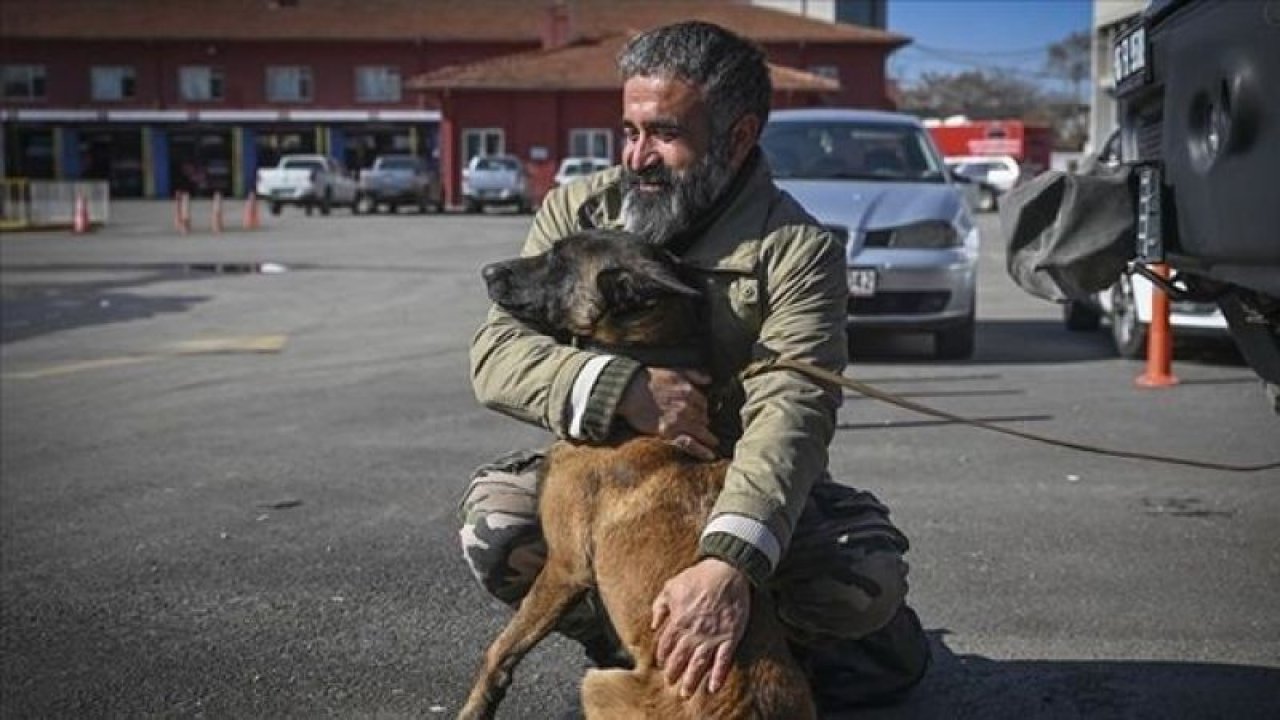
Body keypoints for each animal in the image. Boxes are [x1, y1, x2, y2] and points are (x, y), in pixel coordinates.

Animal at [458, 228, 808, 717]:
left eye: (559, 260)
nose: (488, 271)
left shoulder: (565, 567)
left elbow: (500, 649)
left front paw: (476, 705)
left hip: (598, 683)